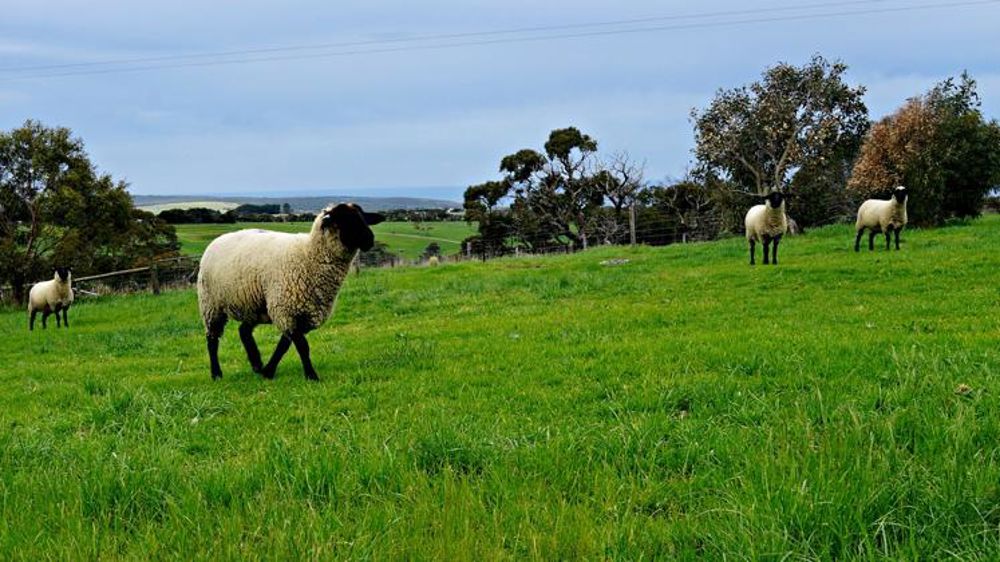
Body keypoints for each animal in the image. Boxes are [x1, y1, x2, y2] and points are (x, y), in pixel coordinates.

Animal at [197, 203, 385, 381]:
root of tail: (218, 239)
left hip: (254, 305)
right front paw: (311, 375)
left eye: (363, 218)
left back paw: (257, 364)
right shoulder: (285, 310)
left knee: (244, 331)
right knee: (212, 339)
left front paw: (268, 371)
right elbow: (302, 346)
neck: (310, 255)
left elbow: (284, 345)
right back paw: (216, 373)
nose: (370, 239)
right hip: (211, 304)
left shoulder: (297, 313)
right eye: (344, 220)